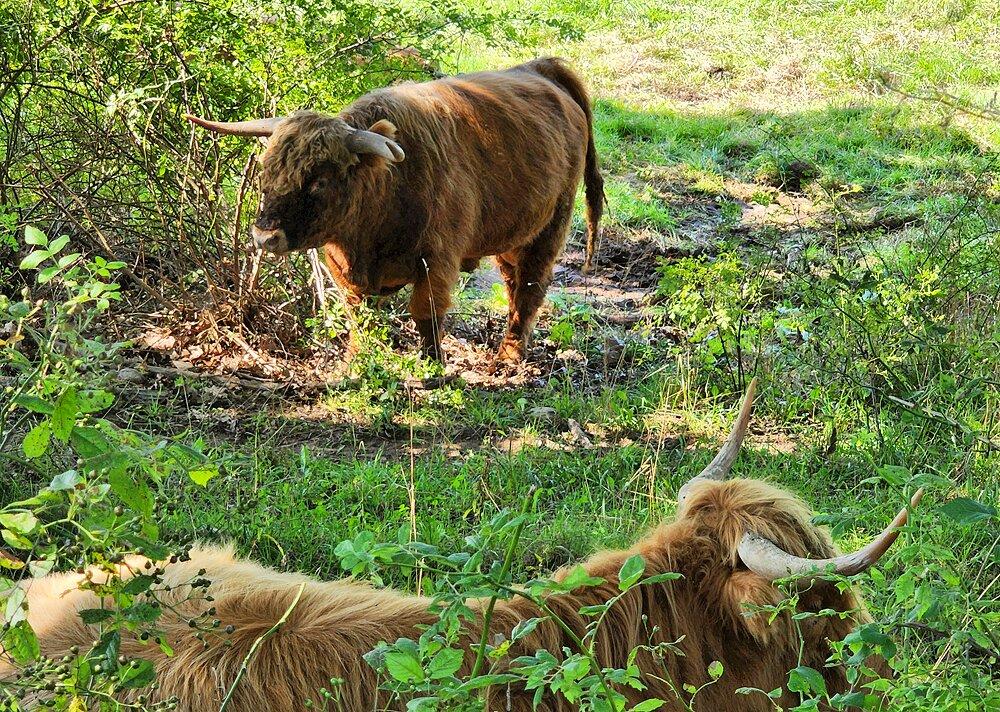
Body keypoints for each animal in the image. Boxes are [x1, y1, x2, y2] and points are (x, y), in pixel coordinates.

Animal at [185, 58, 605, 363]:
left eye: (319, 181)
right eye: (265, 171)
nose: (264, 235)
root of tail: (538, 69)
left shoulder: (437, 260)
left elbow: (425, 313)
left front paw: (434, 366)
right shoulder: (345, 272)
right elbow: (359, 317)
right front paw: (356, 361)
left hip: (551, 224)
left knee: (530, 288)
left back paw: (509, 357)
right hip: (512, 231)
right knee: (513, 281)